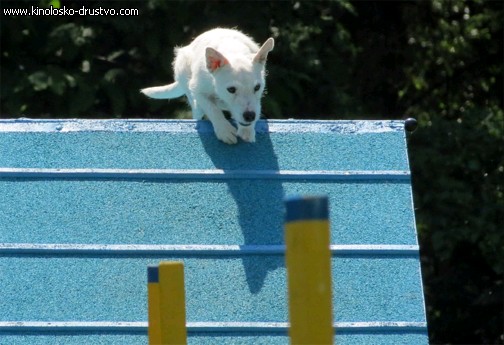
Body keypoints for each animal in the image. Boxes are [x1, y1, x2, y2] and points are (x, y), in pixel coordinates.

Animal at [142, 27, 274, 144]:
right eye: (231, 89)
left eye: (257, 87)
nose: (250, 116)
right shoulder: (197, 90)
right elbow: (212, 109)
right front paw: (224, 130)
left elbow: (256, 105)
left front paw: (247, 130)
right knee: (198, 108)